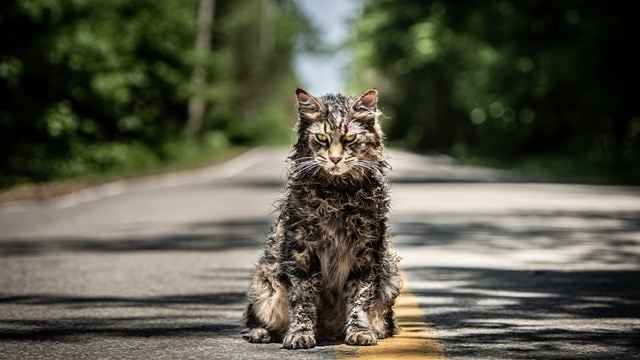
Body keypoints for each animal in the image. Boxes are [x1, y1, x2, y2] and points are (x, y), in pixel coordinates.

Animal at [244, 87, 400, 348]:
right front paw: (300, 333)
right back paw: (261, 332)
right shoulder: (301, 250)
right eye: (321, 138)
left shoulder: (366, 250)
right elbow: (303, 298)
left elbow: (360, 297)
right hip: (265, 283)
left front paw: (360, 331)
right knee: (256, 318)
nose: (335, 159)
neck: (336, 194)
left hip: (390, 276)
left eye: (350, 139)